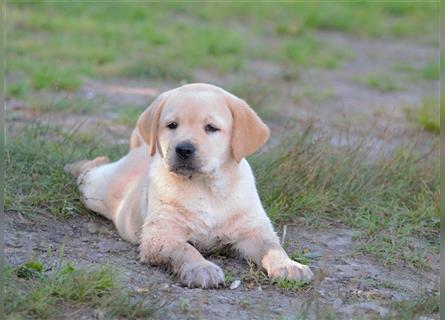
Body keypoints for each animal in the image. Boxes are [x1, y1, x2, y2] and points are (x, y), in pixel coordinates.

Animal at [66, 82, 314, 288]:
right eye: (172, 125)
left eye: (211, 127)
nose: (183, 149)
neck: (205, 187)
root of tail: (140, 148)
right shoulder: (161, 235)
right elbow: (186, 249)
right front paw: (201, 268)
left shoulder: (252, 230)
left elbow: (273, 247)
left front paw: (289, 265)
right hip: (95, 188)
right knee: (93, 166)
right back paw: (72, 165)